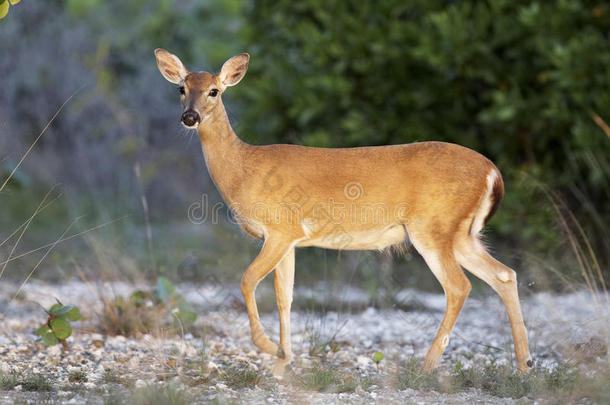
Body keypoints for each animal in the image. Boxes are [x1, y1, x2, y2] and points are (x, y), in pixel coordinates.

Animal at [153, 49, 532, 376]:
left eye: (214, 91)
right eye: (181, 89)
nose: (189, 117)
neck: (244, 169)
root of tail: (493, 172)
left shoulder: (281, 228)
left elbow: (247, 280)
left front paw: (269, 348)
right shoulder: (290, 240)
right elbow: (285, 297)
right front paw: (283, 360)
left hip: (432, 228)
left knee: (459, 286)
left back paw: (427, 366)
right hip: (461, 233)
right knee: (504, 275)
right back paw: (525, 365)